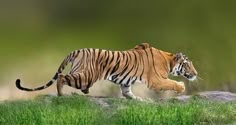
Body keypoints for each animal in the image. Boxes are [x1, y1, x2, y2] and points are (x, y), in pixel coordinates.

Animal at [15, 42, 197, 99]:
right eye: (188, 64)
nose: (196, 74)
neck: (169, 60)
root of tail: (77, 51)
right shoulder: (156, 80)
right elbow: (171, 83)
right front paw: (181, 87)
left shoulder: (126, 83)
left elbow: (127, 92)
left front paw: (138, 100)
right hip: (85, 77)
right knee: (62, 77)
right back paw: (60, 96)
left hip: (83, 76)